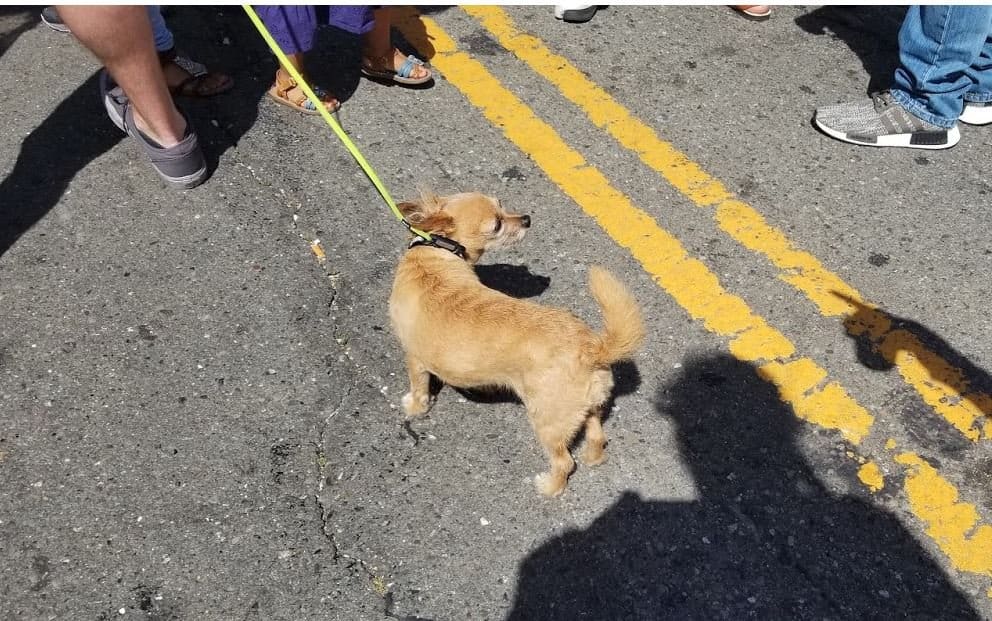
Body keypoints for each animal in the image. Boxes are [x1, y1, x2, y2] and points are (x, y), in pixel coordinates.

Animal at [388, 191, 644, 496]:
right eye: (498, 220)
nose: (527, 219)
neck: (438, 254)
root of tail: (593, 347)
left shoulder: (415, 359)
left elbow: (419, 389)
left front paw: (414, 408)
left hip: (546, 422)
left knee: (564, 462)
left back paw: (550, 487)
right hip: (585, 408)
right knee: (596, 435)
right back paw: (593, 458)